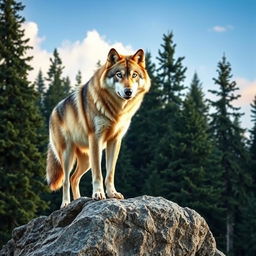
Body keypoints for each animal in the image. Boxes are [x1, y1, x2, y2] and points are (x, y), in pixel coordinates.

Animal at [46, 48, 150, 208]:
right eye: (119, 74)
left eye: (134, 75)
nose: (128, 92)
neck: (116, 110)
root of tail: (53, 111)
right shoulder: (96, 138)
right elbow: (98, 174)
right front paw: (98, 194)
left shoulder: (115, 141)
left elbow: (110, 172)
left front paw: (112, 193)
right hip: (68, 155)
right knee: (66, 180)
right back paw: (66, 204)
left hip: (86, 159)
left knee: (74, 178)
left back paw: (78, 200)